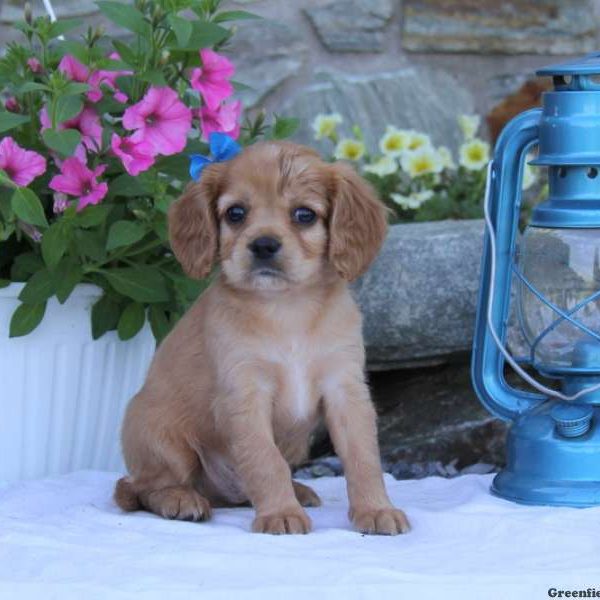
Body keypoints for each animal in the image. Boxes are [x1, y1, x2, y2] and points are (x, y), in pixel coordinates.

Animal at [114, 141, 410, 536]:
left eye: (304, 215)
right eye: (236, 213)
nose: (264, 245)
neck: (287, 310)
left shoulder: (345, 388)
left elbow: (363, 456)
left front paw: (376, 509)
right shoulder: (245, 394)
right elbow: (265, 460)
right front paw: (280, 513)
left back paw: (298, 491)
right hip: (162, 439)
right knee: (141, 488)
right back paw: (181, 500)